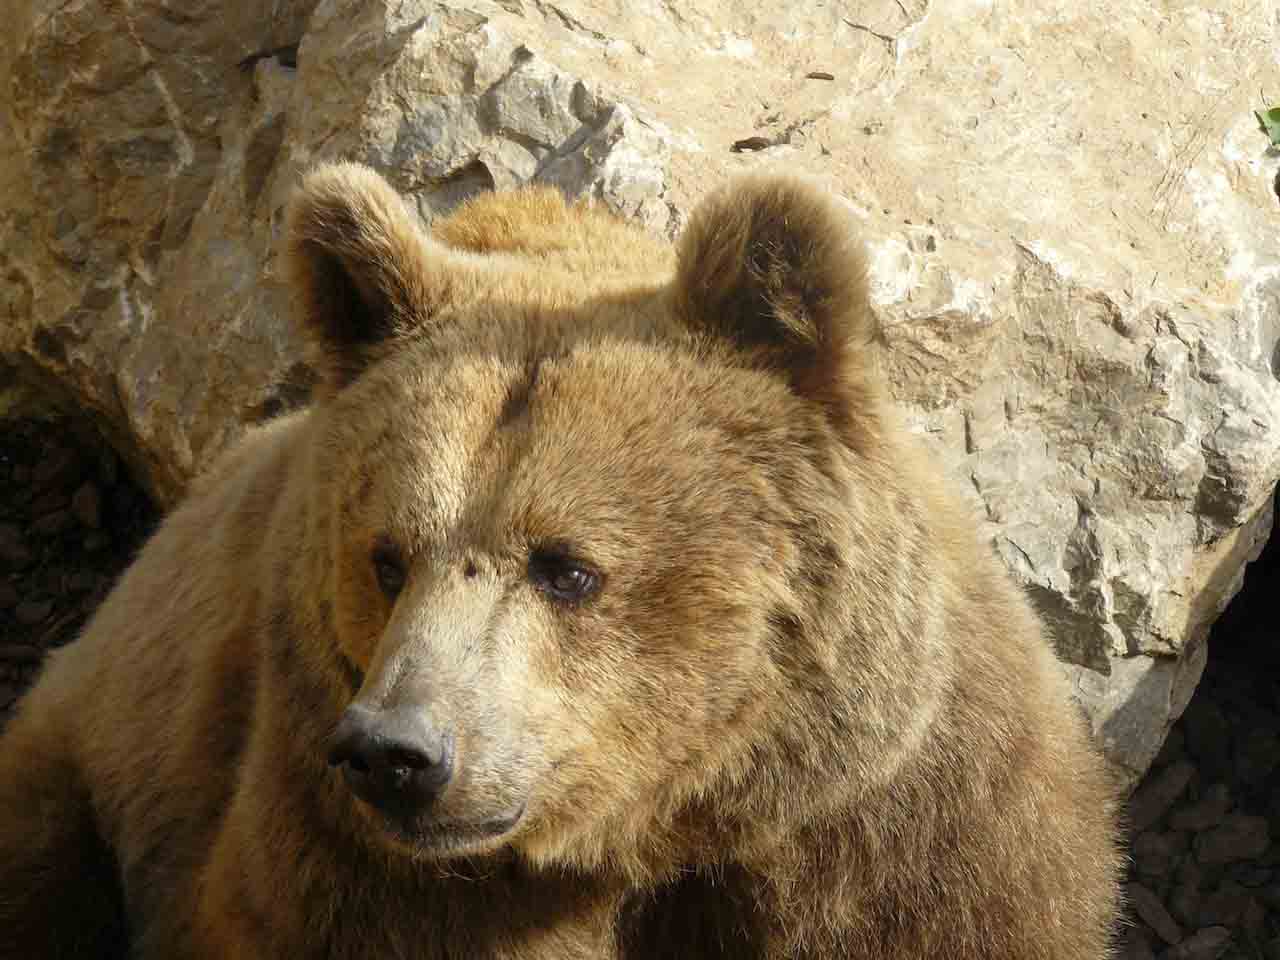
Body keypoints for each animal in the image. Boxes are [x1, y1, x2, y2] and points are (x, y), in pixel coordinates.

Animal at [0, 161, 1121, 957]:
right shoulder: (349, 856)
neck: (664, 826)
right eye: (387, 557)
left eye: (566, 565)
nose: (396, 752)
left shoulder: (905, 830)